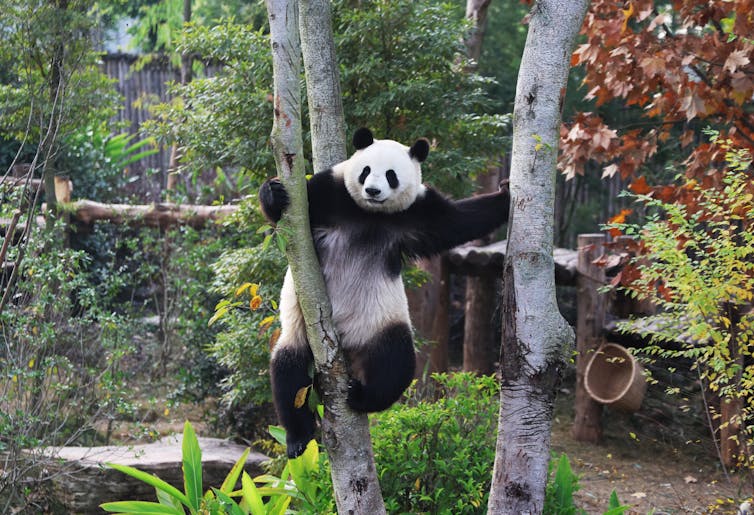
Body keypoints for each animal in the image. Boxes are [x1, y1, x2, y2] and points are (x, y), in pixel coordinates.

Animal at [259, 127, 510, 458]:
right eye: (365, 171)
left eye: (391, 175)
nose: (373, 191)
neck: (369, 214)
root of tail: (348, 346)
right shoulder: (330, 192)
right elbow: (285, 217)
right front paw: (274, 192)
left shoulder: (418, 212)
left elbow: (461, 221)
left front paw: (506, 195)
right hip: (302, 330)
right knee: (289, 371)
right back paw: (298, 437)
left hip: (381, 324)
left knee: (396, 361)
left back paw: (361, 396)